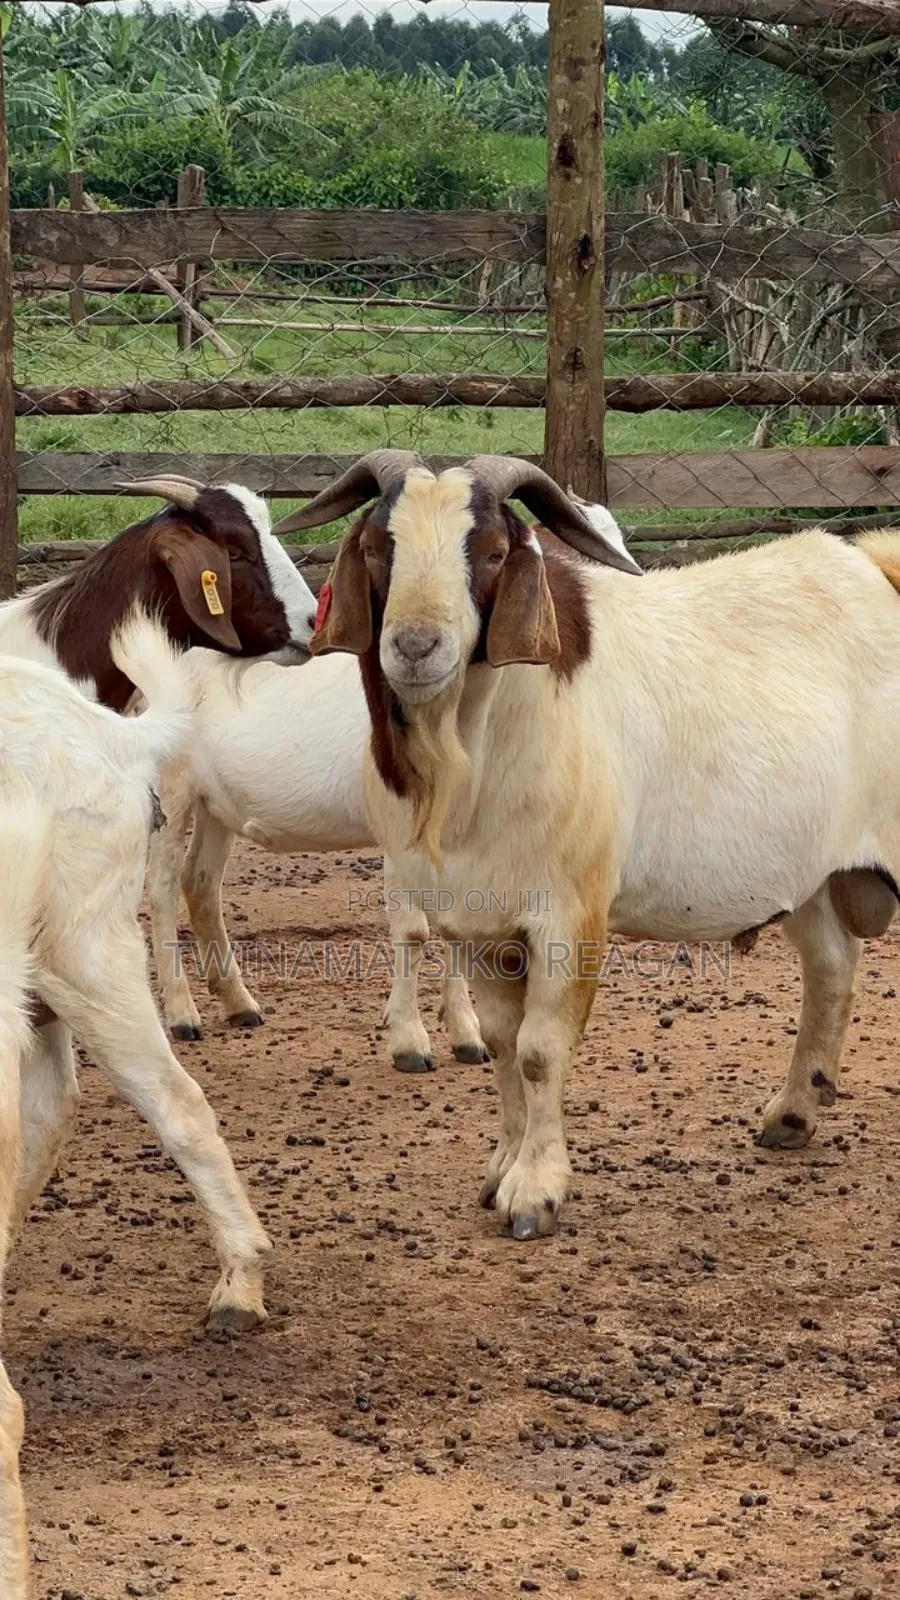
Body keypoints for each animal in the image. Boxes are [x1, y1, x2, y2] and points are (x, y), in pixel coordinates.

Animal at [147, 648, 487, 1070]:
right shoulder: (399, 831)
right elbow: (414, 933)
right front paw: (410, 1044)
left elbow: (457, 928)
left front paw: (468, 1038)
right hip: (172, 789)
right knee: (162, 890)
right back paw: (182, 1015)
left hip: (215, 807)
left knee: (200, 881)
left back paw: (241, 1005)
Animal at [286, 448, 900, 1241]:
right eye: (376, 548)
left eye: (491, 552)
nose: (416, 647)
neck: (478, 751)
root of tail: (877, 572)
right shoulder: (482, 923)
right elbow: (503, 1043)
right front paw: (501, 1167)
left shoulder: (570, 913)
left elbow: (541, 1051)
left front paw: (535, 1193)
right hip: (811, 872)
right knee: (831, 965)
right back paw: (791, 1114)